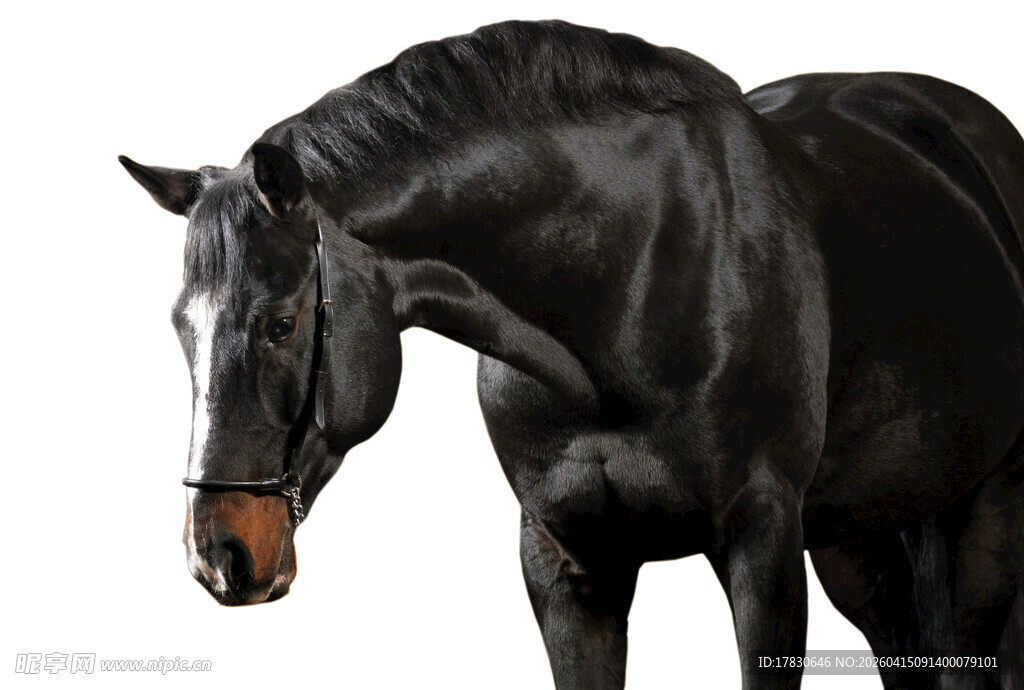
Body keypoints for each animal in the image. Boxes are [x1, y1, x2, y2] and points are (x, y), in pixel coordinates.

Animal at [120, 20, 1024, 689]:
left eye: (280, 323)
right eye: (181, 327)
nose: (220, 555)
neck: (623, 285)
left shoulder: (763, 545)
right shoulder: (566, 565)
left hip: (983, 515)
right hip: (859, 535)